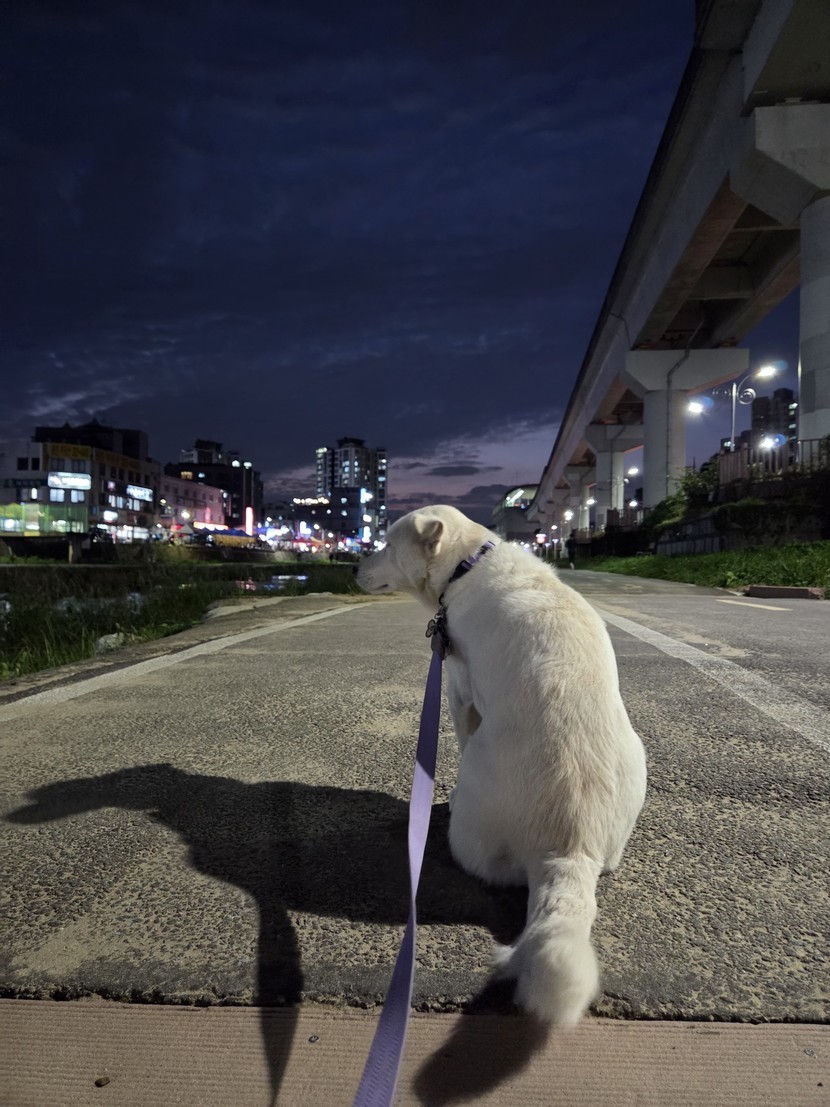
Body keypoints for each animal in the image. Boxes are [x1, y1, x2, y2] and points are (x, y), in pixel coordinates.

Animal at [356, 505, 647, 1025]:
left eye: (385, 544)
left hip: (477, 792)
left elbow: (459, 726)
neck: (468, 563)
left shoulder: (458, 687)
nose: (350, 568)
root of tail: (571, 846)